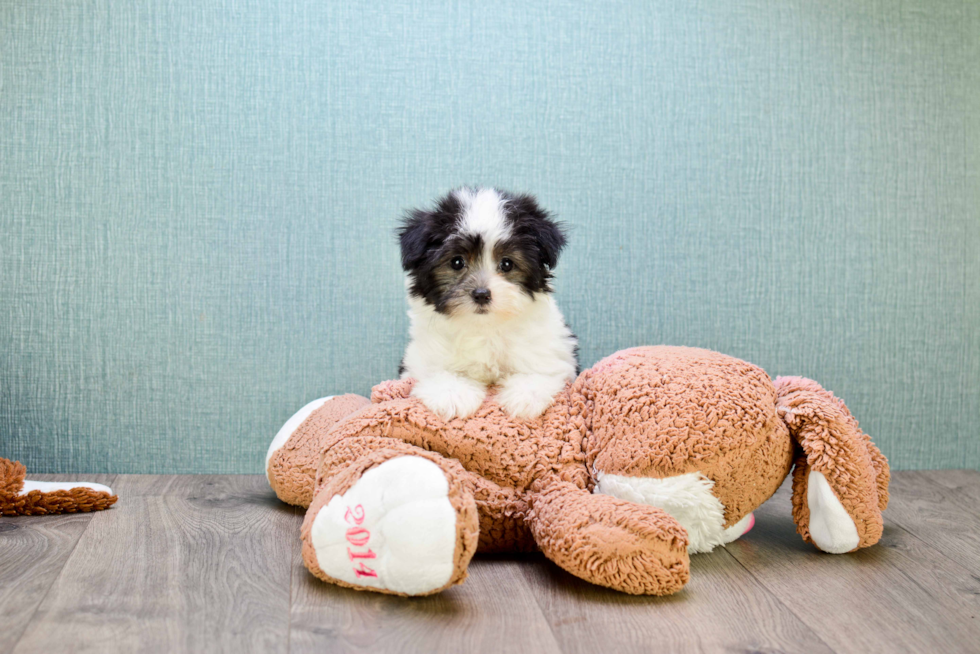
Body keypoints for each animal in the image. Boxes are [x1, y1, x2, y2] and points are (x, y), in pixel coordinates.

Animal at [398, 187, 580, 422]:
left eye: (507, 264)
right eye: (456, 262)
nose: (482, 294)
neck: (484, 327)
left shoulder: (552, 349)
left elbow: (539, 370)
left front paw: (525, 396)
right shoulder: (422, 356)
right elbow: (437, 371)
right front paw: (451, 393)